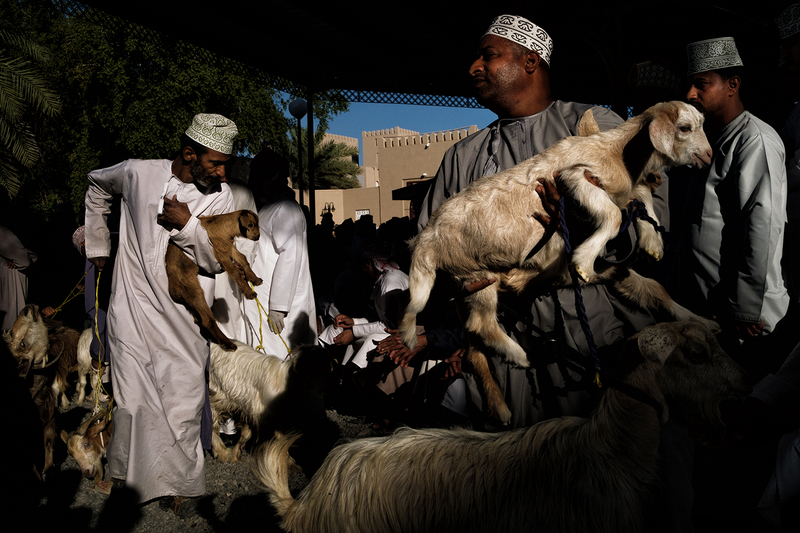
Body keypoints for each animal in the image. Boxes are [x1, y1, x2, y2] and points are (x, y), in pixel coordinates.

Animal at [400, 100, 720, 424]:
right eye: (684, 128)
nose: (708, 155)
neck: (616, 151)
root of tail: (424, 240)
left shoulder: (614, 247)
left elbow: (649, 264)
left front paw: (696, 312)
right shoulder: (574, 177)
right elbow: (614, 215)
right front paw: (584, 260)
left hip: (469, 285)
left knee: (474, 351)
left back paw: (500, 407)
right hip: (474, 275)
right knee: (482, 325)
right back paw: (521, 356)